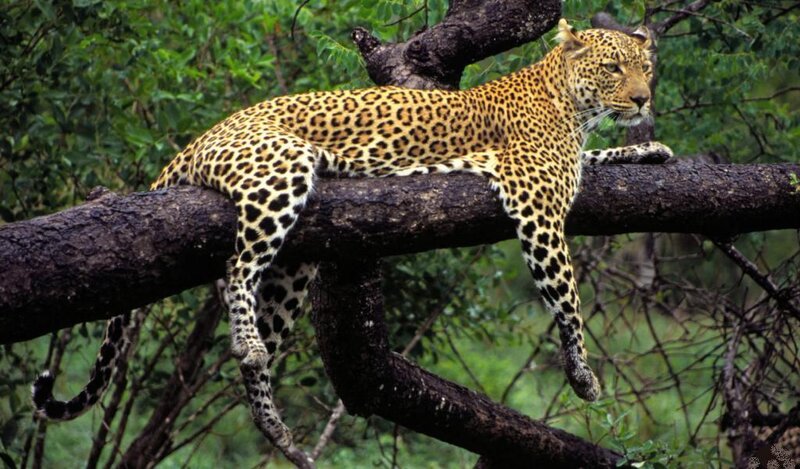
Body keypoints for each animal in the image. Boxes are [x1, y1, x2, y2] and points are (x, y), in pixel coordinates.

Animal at [32, 19, 672, 466]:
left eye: (646, 68)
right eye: (614, 68)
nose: (642, 99)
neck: (569, 102)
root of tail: (200, 137)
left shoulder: (566, 167)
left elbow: (603, 156)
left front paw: (652, 149)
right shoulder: (536, 200)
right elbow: (569, 299)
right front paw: (582, 375)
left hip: (293, 267)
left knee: (258, 329)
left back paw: (273, 424)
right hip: (279, 173)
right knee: (238, 266)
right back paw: (248, 344)